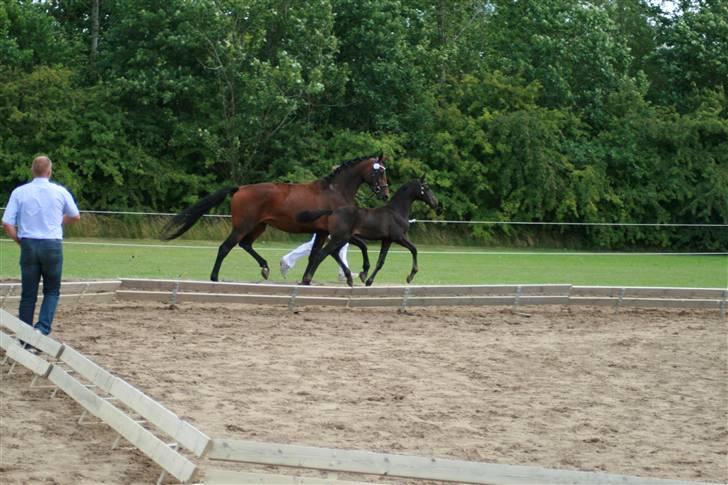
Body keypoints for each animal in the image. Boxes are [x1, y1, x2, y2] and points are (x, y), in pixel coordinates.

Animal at [162, 153, 390, 282]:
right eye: (379, 172)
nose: (385, 194)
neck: (334, 191)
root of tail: (239, 188)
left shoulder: (323, 232)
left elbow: (316, 255)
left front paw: (307, 279)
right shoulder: (335, 231)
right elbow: (360, 246)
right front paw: (362, 272)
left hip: (258, 226)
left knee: (245, 245)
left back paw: (265, 268)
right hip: (243, 226)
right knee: (225, 247)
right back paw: (215, 277)